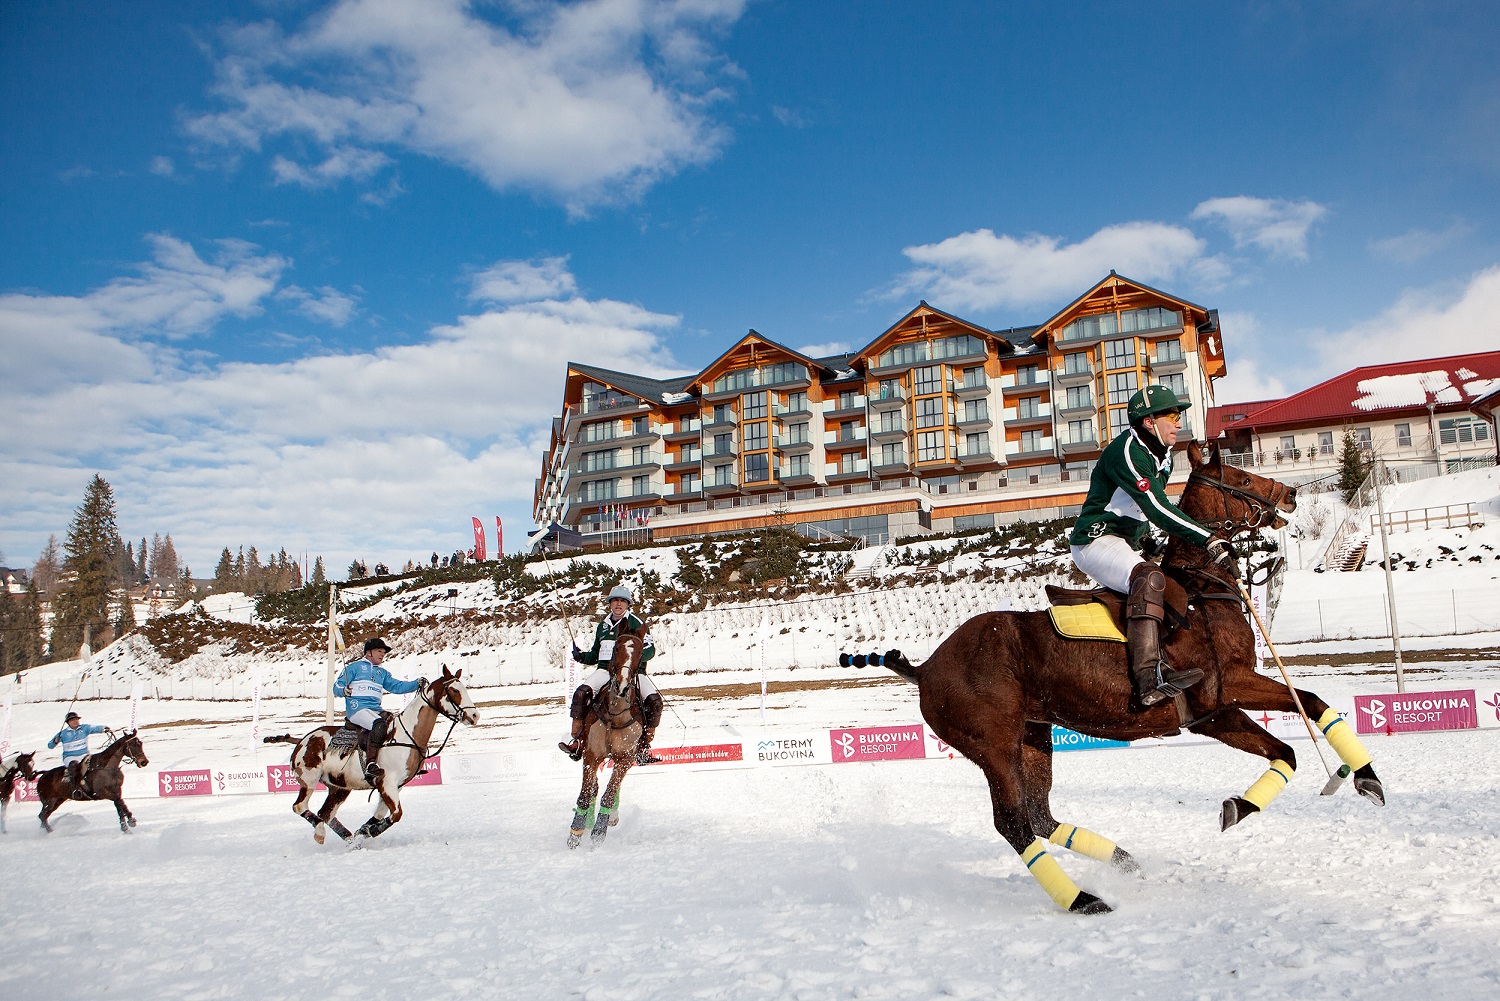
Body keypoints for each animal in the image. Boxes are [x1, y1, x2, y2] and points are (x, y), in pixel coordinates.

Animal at [262, 669, 474, 852]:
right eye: (454, 690)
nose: (474, 715)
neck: (408, 736)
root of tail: (302, 740)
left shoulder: (394, 785)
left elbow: (381, 814)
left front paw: (362, 832)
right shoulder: (386, 782)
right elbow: (396, 814)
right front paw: (369, 830)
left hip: (339, 787)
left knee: (326, 813)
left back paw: (350, 841)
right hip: (309, 778)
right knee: (300, 806)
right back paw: (320, 833)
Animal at [570, 630, 648, 852]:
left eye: (641, 653)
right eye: (616, 648)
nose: (622, 687)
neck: (615, 714)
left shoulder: (625, 757)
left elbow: (610, 793)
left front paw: (598, 833)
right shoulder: (591, 755)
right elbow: (586, 794)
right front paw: (575, 834)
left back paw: (611, 817)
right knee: (594, 787)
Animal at [858, 444, 1380, 918]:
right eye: (1242, 477)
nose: (1291, 494)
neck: (1203, 593)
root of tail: (926, 667)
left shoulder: (1212, 711)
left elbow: (1292, 739)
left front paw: (1341, 783)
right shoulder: (1230, 684)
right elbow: (1305, 708)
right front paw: (1361, 777)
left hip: (1032, 737)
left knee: (1040, 815)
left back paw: (1121, 859)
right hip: (993, 745)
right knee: (1013, 822)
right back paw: (1083, 899)